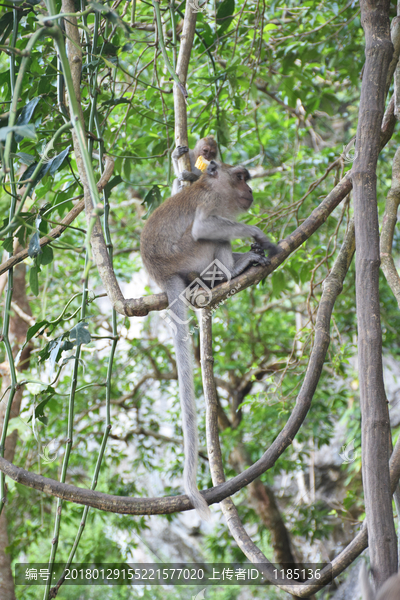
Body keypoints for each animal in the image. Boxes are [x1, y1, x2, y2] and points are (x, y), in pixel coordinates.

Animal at [141, 161, 278, 520]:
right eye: (240, 177)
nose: (250, 189)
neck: (209, 184)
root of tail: (163, 274)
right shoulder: (210, 203)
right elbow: (204, 226)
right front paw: (258, 234)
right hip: (191, 256)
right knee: (213, 237)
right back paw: (234, 268)